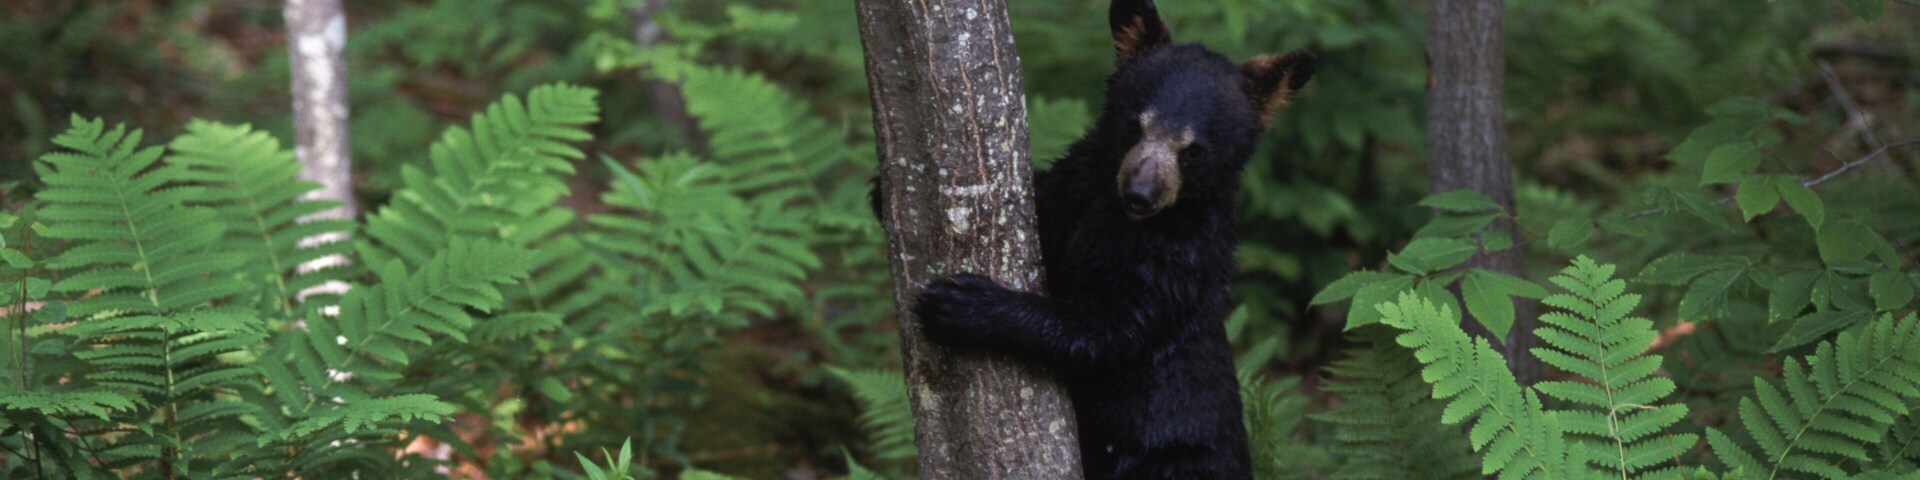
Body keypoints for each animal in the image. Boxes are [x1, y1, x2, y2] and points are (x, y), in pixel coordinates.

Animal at [901, 0, 1316, 479]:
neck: (1120, 220)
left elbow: (1110, 329)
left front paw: (966, 305)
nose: (1140, 193)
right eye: (1136, 125)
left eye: (1193, 148)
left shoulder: (1179, 263)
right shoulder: (1074, 191)